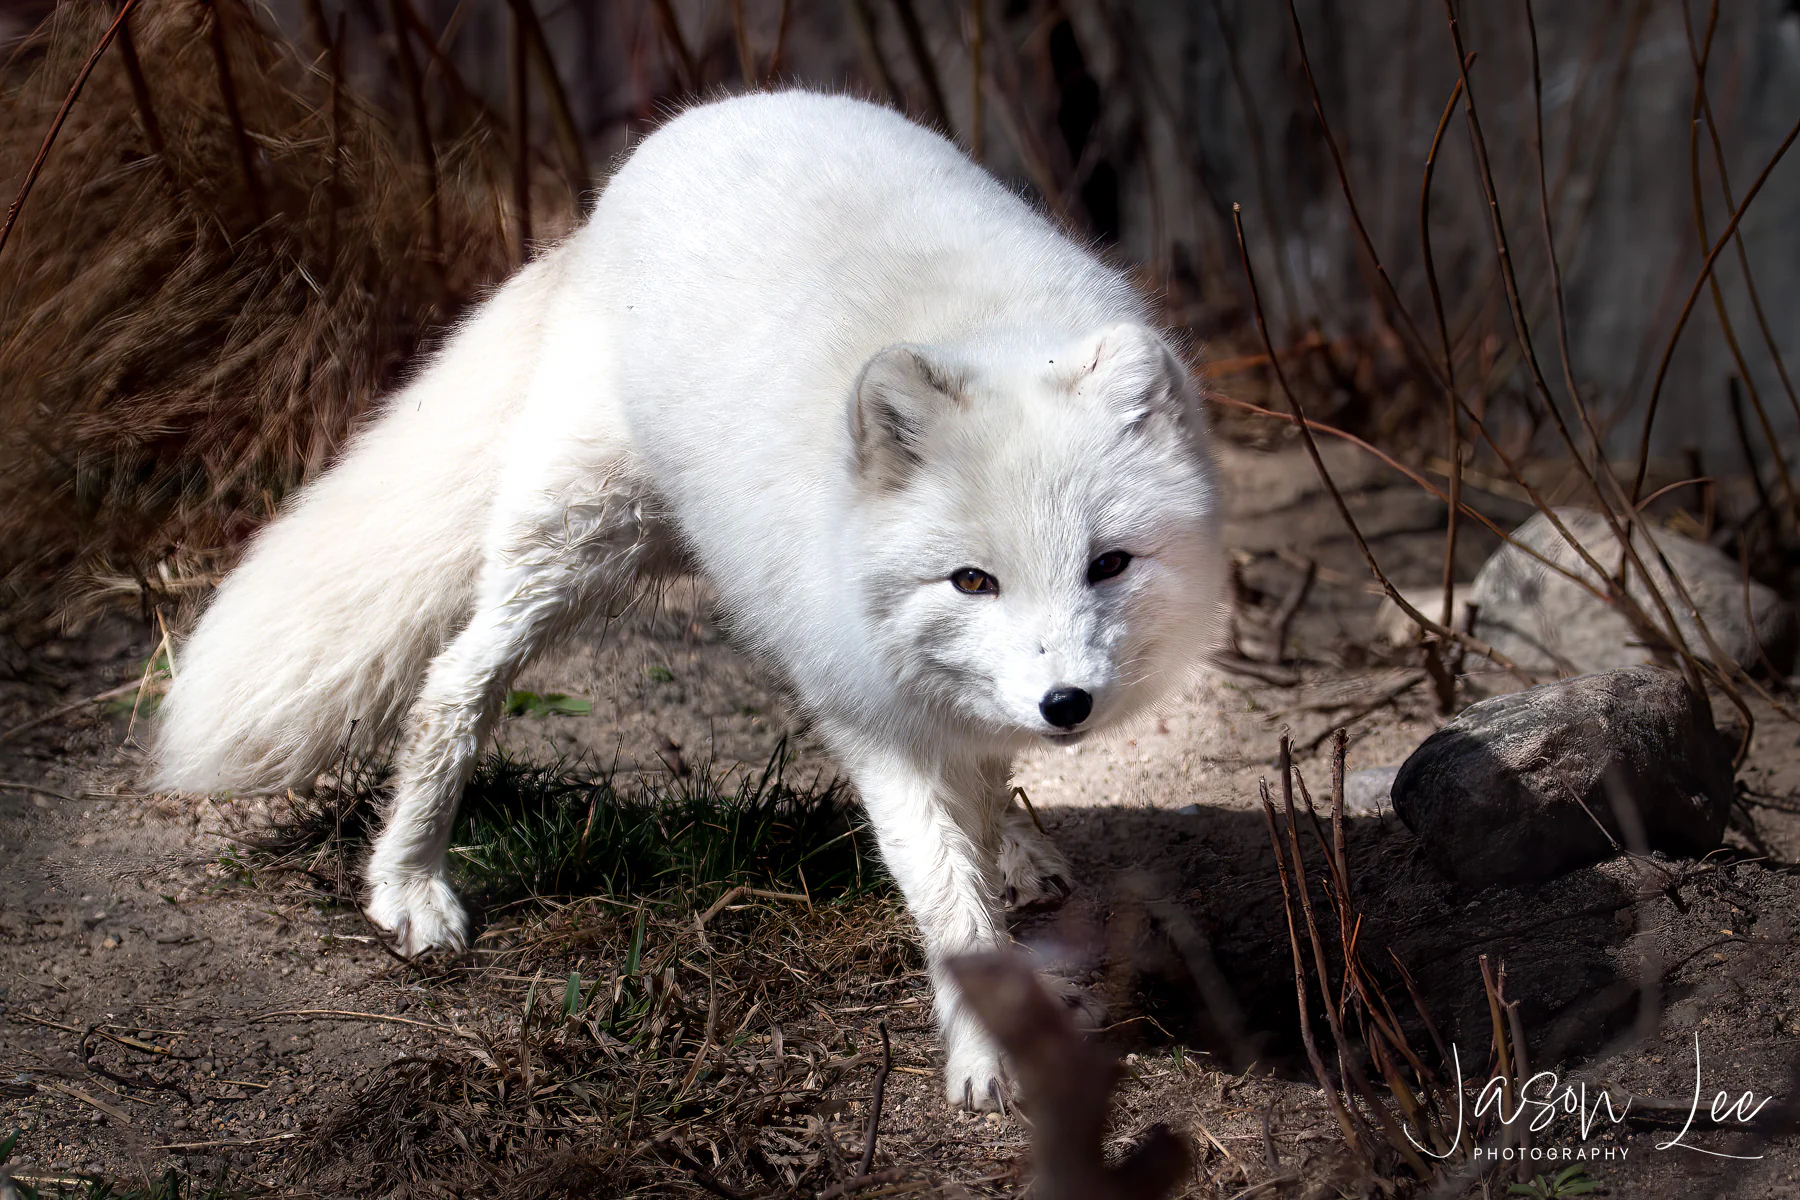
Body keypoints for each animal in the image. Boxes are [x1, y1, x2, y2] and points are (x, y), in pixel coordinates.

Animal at [152, 91, 1224, 1110]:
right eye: (973, 581)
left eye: (1108, 565)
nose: (1066, 706)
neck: (986, 334)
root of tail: (649, 158)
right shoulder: (873, 717)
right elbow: (951, 907)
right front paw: (988, 1058)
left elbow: (985, 800)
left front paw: (1009, 868)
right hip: (574, 539)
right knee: (455, 684)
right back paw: (409, 882)